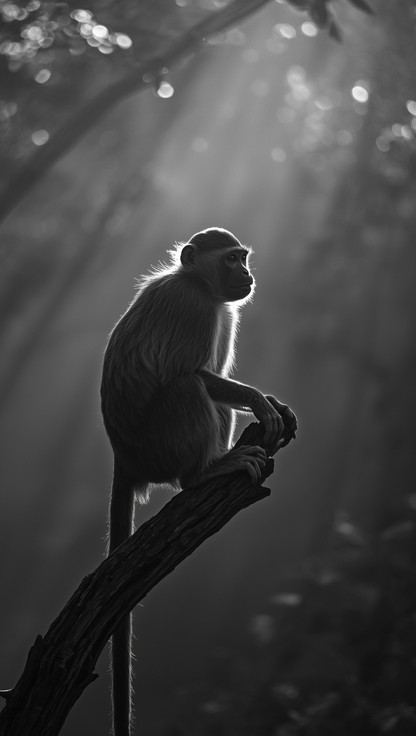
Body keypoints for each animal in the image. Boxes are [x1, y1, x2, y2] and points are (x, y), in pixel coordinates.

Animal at [100, 227, 297, 736]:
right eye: (230, 259)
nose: (247, 273)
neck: (198, 283)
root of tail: (124, 457)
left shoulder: (224, 310)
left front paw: (270, 403)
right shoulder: (197, 307)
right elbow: (190, 374)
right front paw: (259, 398)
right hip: (159, 445)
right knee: (187, 386)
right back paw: (202, 475)